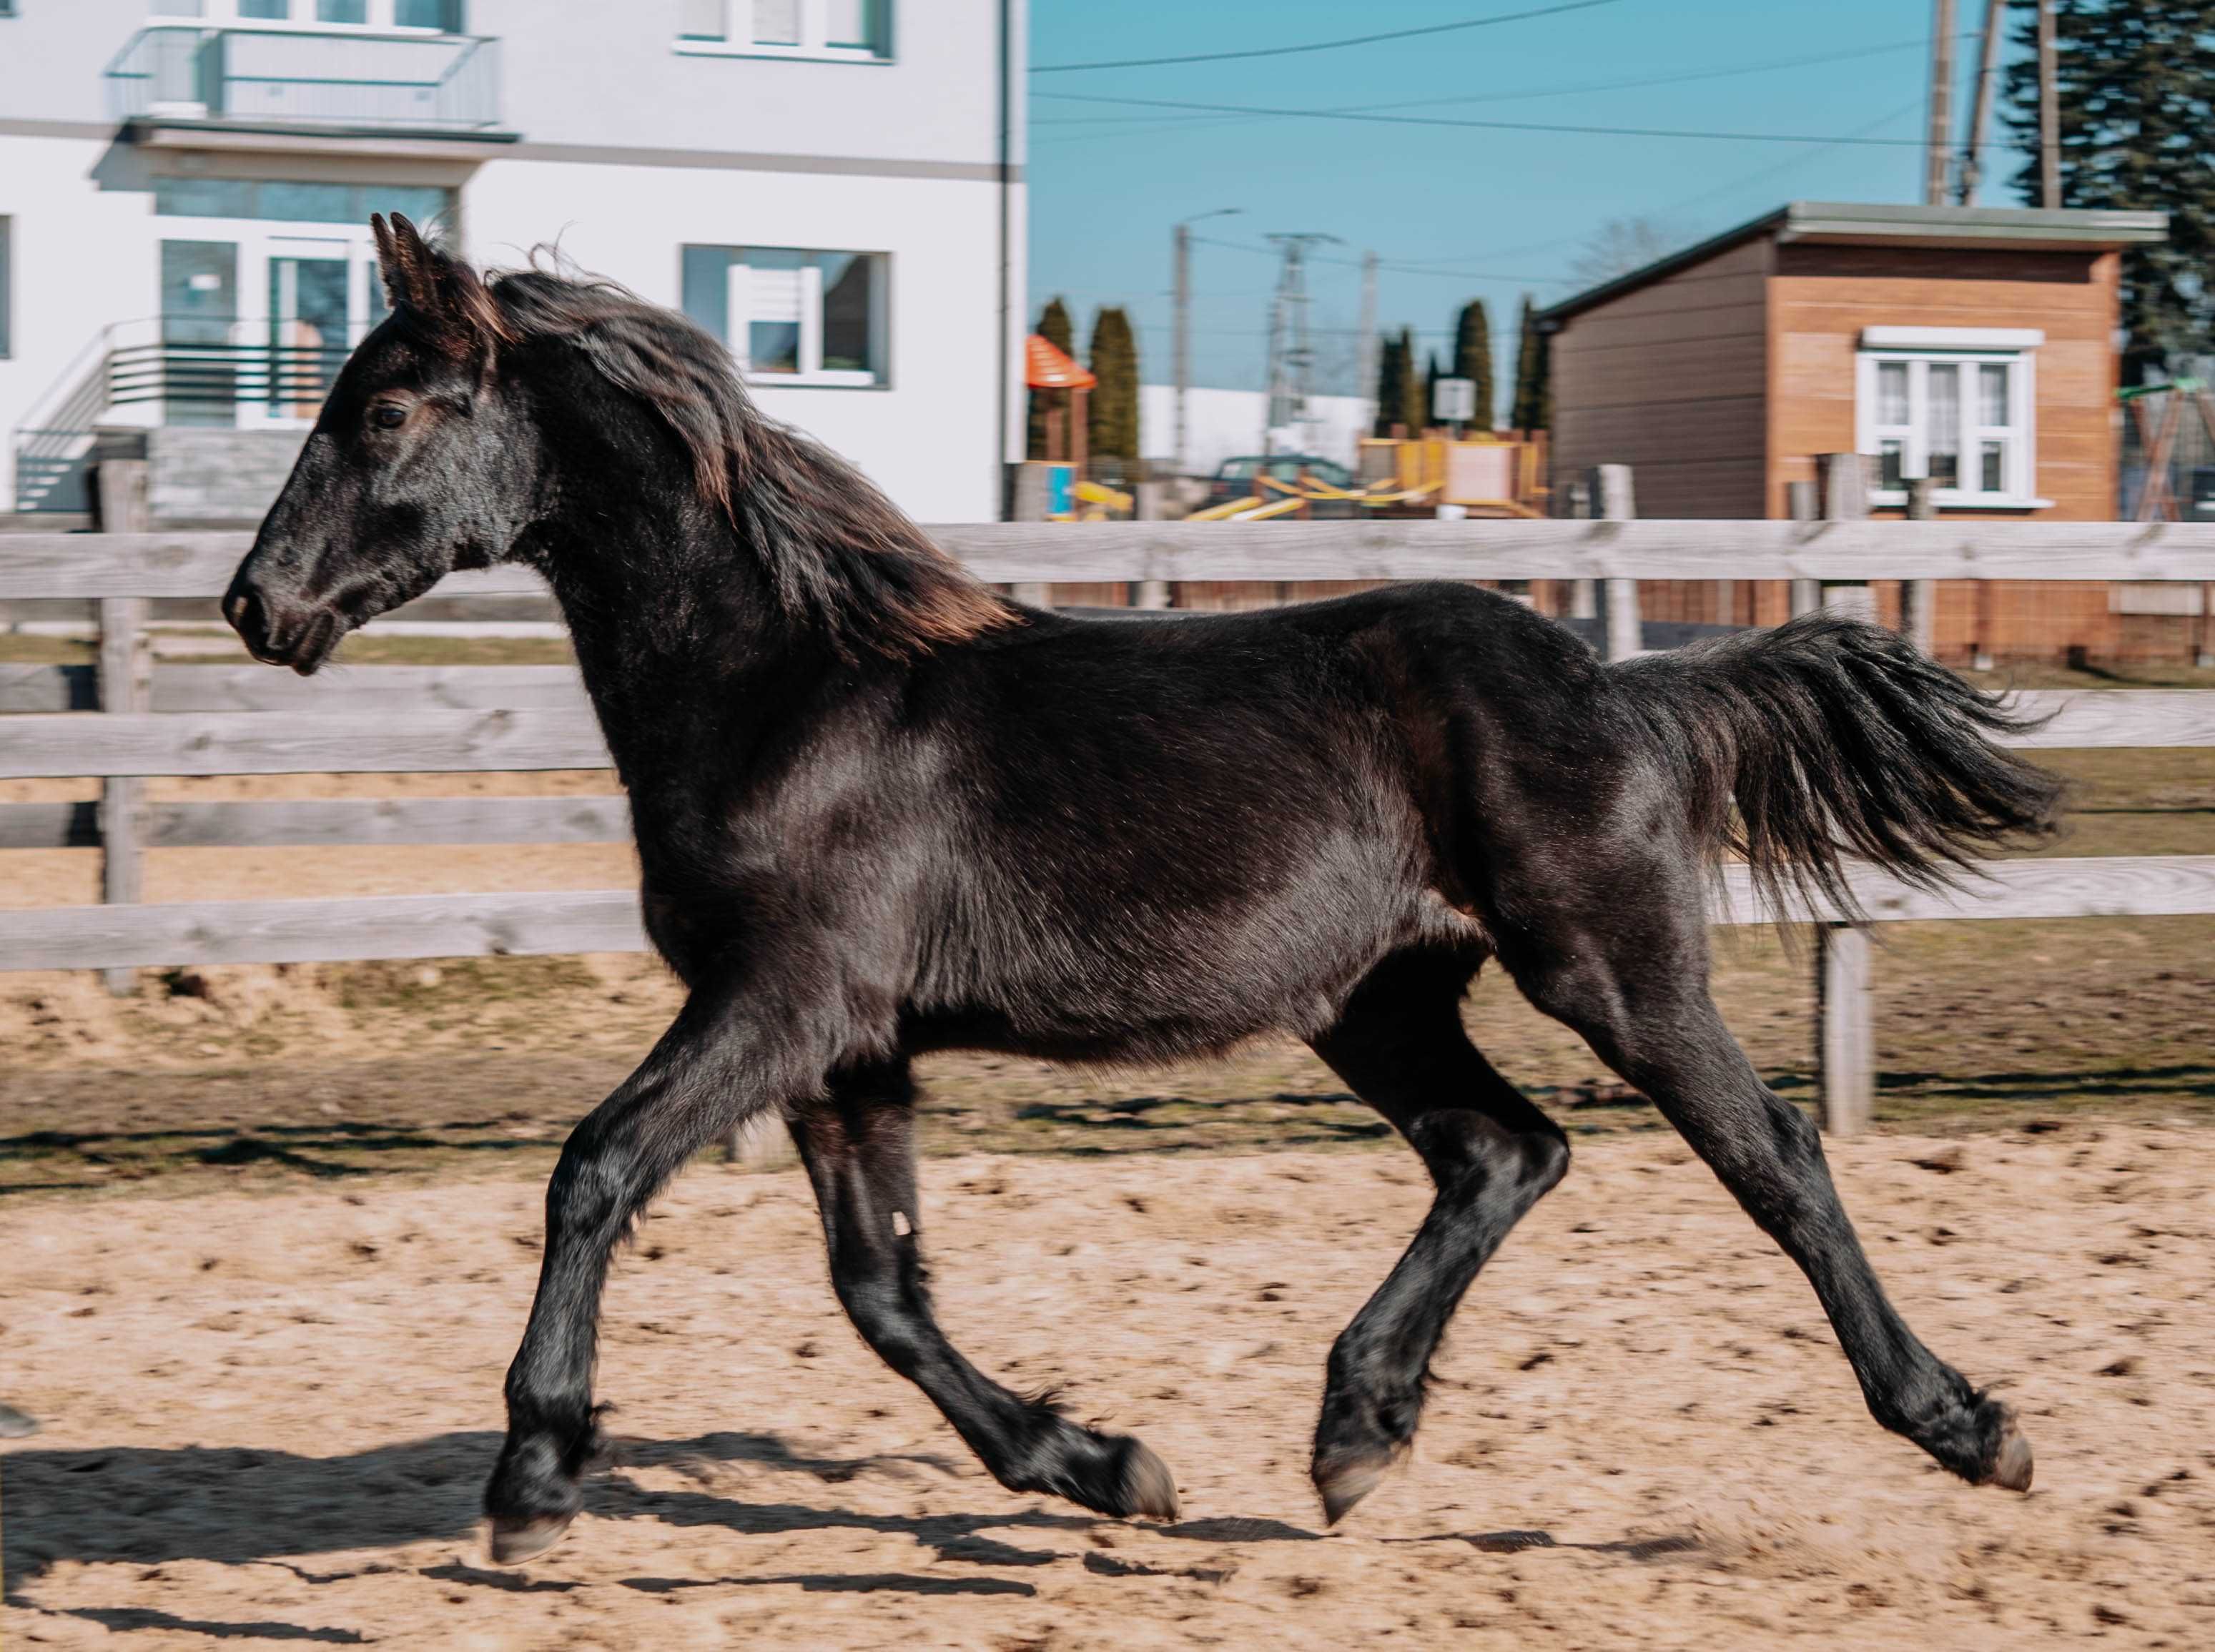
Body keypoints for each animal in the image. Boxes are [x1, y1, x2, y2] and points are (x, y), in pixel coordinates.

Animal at [225, 219, 2055, 1558]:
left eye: (382, 410)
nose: (257, 605)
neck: (790, 690)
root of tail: (1617, 683)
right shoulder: (850, 1048)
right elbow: (879, 1291)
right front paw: (1101, 1463)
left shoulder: (782, 1000)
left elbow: (594, 1173)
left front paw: (532, 1479)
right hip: (1376, 998)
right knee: (1503, 1151)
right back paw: (1352, 1437)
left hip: (1608, 961)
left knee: (1772, 1157)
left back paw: (1968, 1426)